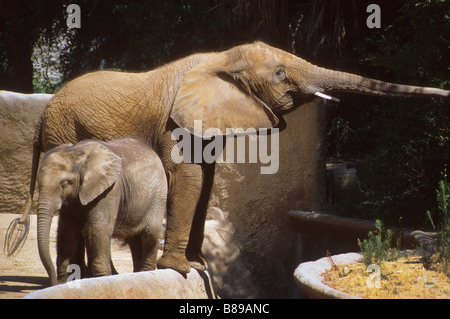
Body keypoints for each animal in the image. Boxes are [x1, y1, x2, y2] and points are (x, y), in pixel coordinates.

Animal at [36, 138, 167, 284]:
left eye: (64, 184)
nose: (52, 281)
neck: (77, 153)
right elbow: (67, 231)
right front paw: (62, 284)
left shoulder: (110, 191)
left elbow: (98, 229)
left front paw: (103, 279)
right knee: (133, 239)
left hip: (158, 195)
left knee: (150, 234)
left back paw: (146, 273)